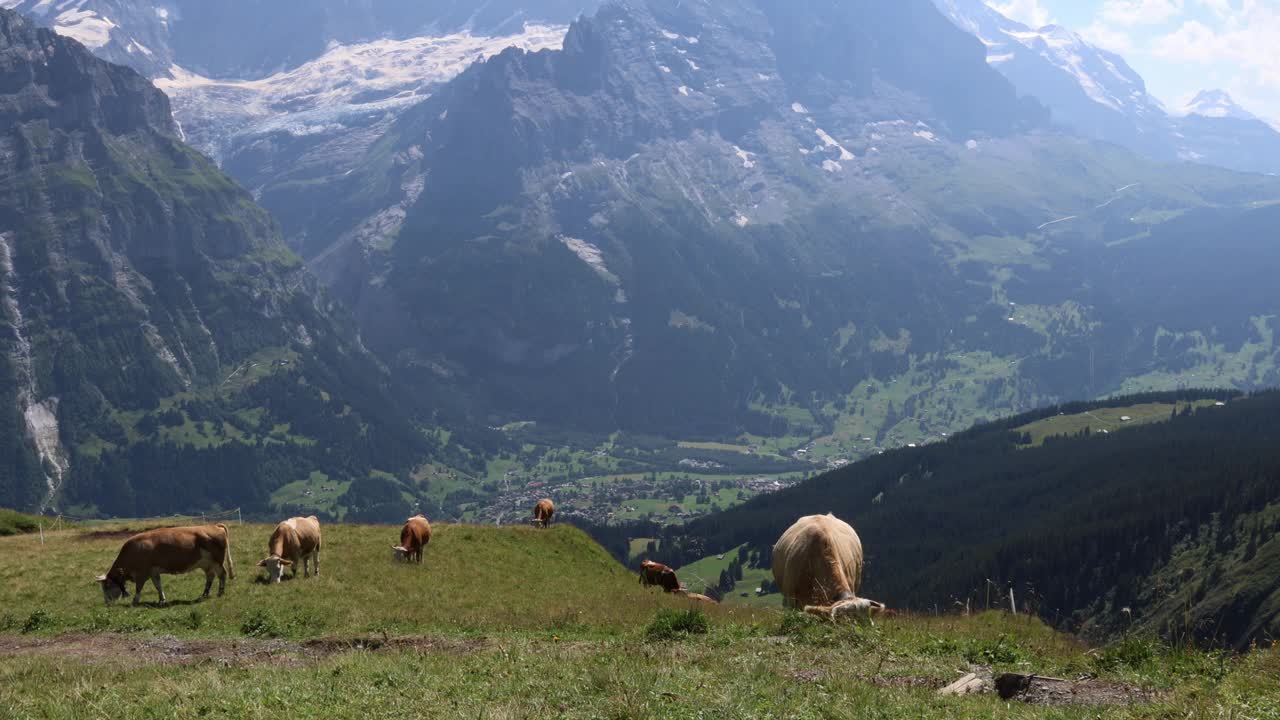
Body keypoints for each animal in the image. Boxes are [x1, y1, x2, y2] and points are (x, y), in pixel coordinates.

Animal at [94, 520, 238, 604]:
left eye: (107, 585)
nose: (106, 602)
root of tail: (213, 525)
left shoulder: (142, 573)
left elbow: (139, 587)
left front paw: (135, 601)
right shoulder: (153, 571)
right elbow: (158, 585)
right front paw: (162, 599)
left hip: (217, 561)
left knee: (222, 574)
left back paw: (220, 593)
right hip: (206, 564)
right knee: (210, 577)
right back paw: (204, 594)